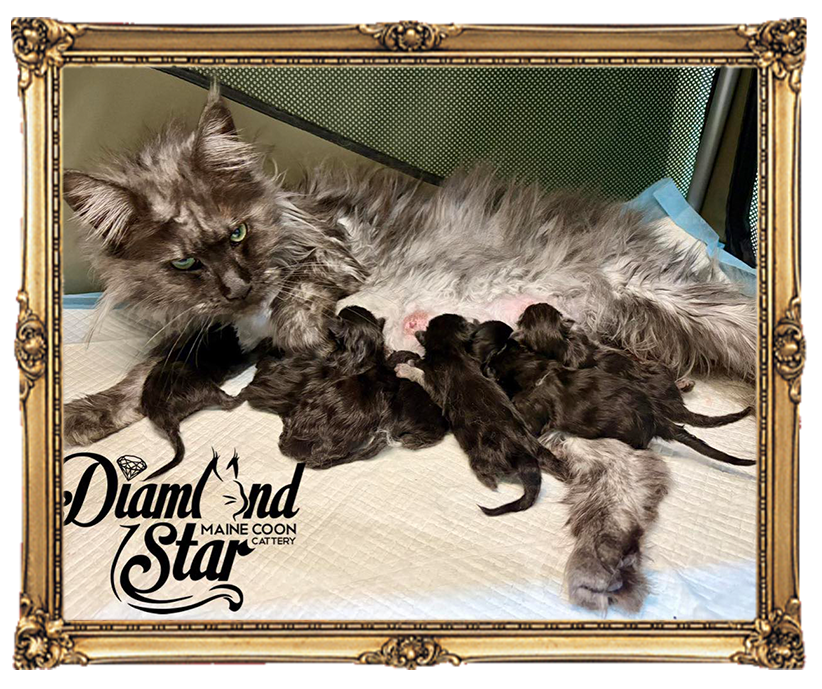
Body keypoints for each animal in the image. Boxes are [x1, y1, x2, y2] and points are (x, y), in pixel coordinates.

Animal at [63, 86, 756, 611]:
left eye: (239, 233)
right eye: (184, 263)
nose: (237, 285)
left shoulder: (335, 253)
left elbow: (302, 291)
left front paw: (300, 327)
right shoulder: (209, 334)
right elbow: (141, 375)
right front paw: (86, 411)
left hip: (679, 303)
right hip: (552, 408)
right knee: (633, 472)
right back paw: (604, 564)